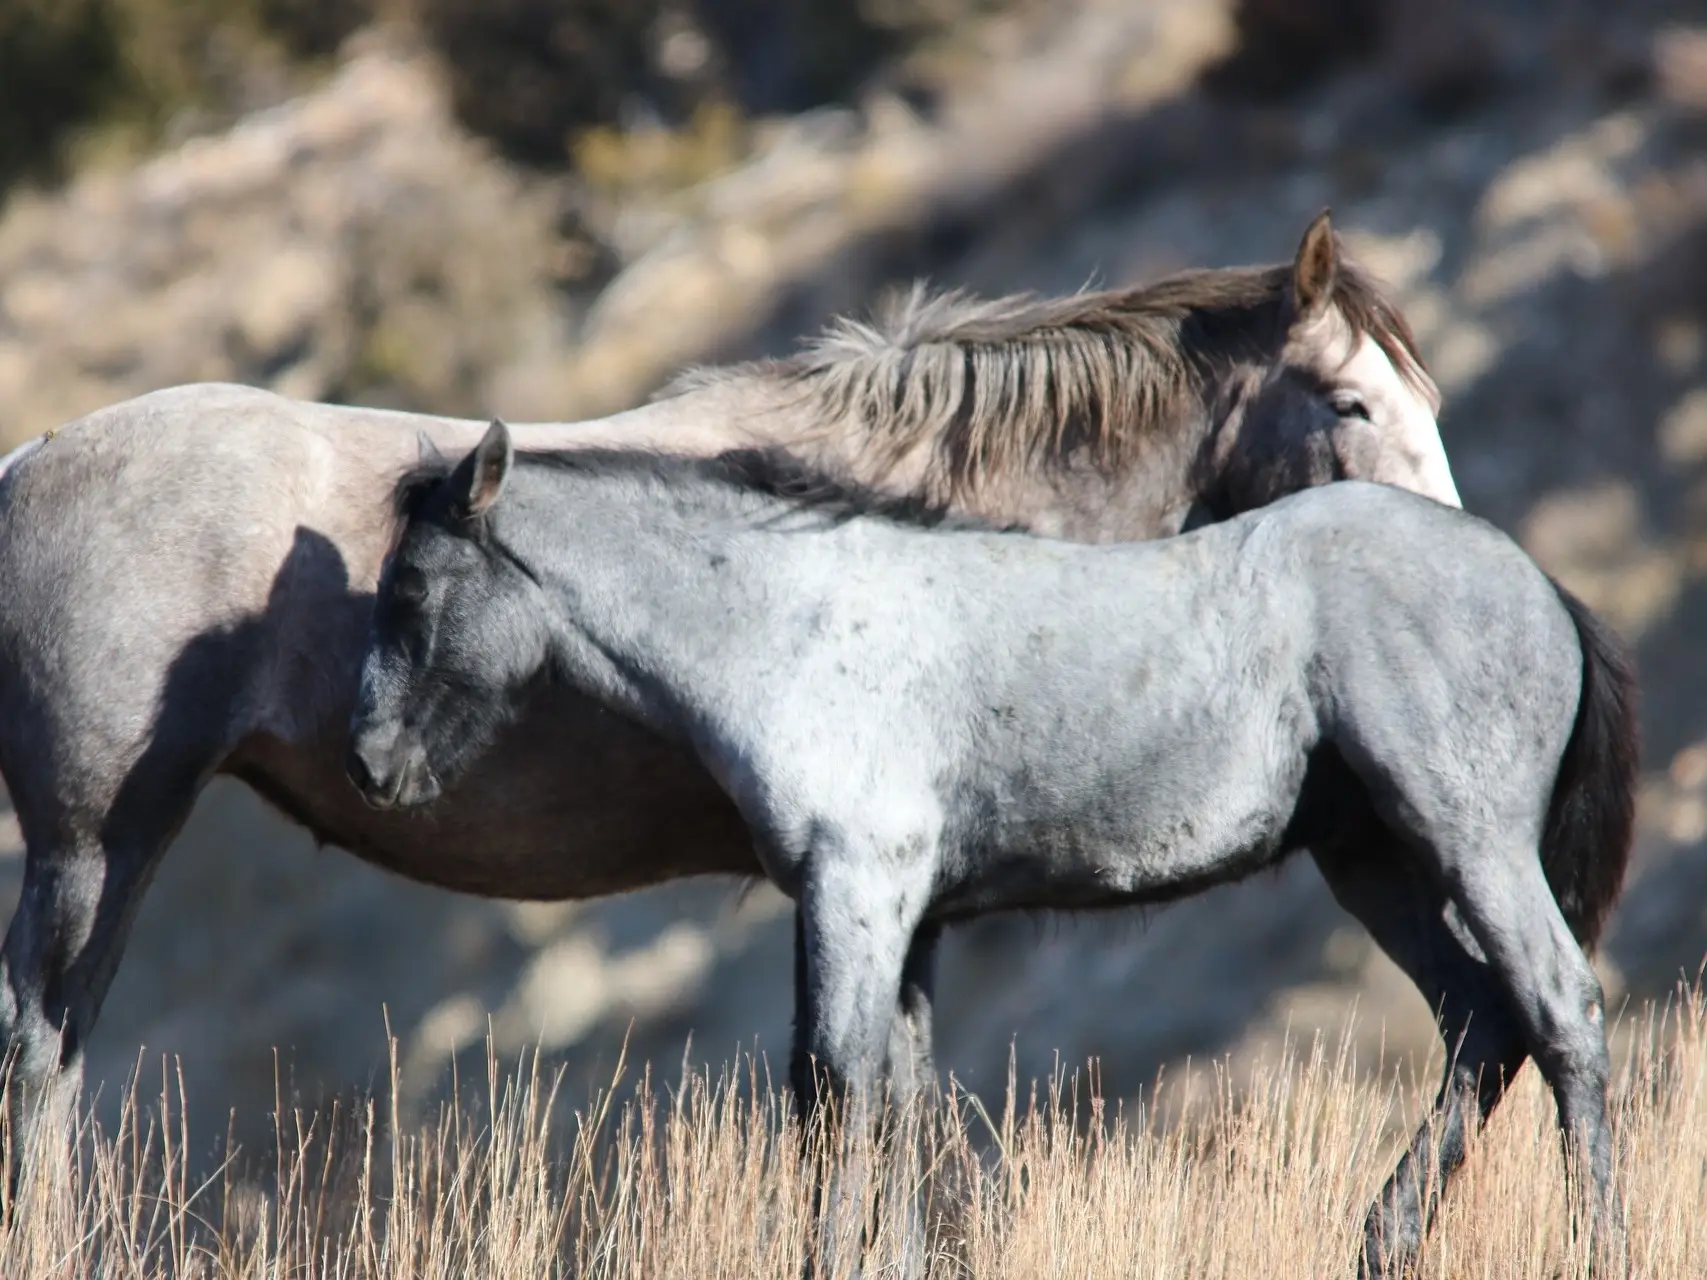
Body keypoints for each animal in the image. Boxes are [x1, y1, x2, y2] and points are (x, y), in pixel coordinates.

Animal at [349, 423, 1638, 1280]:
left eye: (414, 583)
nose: (369, 761)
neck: (794, 623)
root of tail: (1539, 584)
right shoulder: (908, 915)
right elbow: (901, 1093)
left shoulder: (856, 888)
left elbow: (834, 1084)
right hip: (1372, 860)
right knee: (1481, 1023)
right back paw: (1382, 1237)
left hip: (1466, 837)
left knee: (1557, 1007)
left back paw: (1596, 1245)